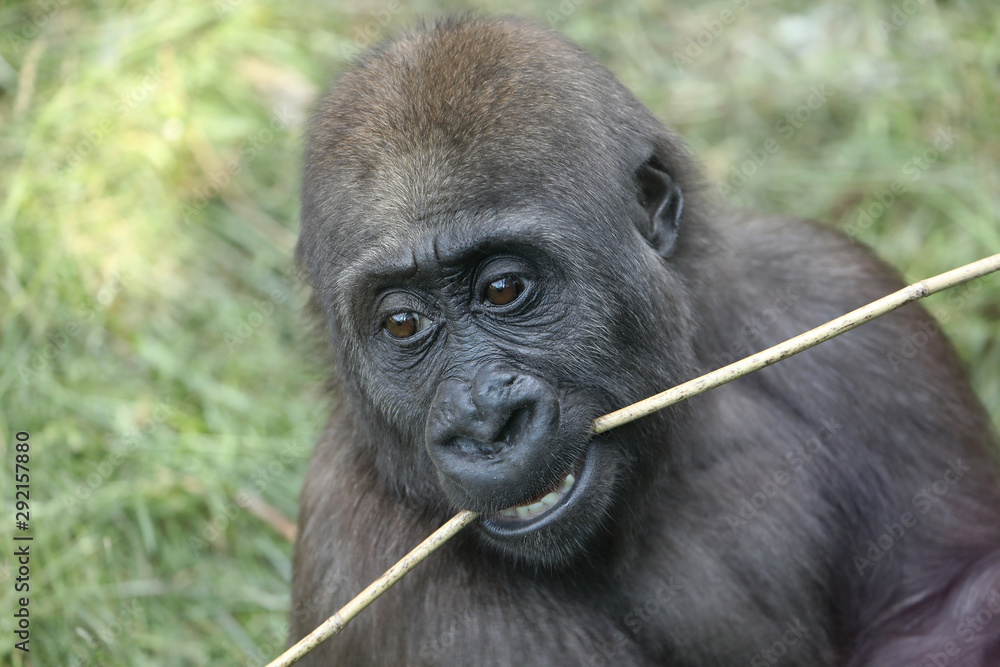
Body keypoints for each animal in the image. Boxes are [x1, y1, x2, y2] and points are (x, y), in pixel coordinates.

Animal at [290, 15, 1000, 666]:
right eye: (402, 325)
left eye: (503, 289)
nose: (482, 423)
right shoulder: (370, 557)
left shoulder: (841, 298)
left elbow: (940, 607)